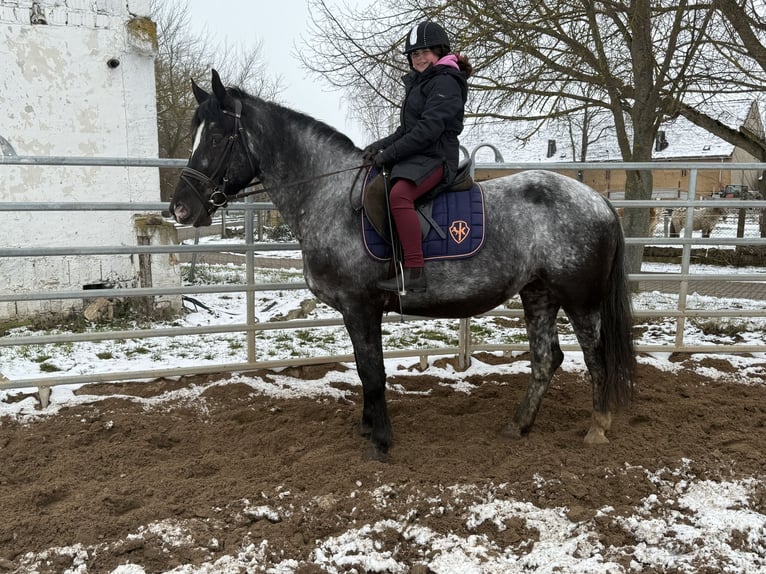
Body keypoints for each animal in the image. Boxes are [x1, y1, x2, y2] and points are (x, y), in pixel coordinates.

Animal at [171, 71, 640, 460]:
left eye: (217, 137)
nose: (180, 209)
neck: (330, 196)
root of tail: (598, 201)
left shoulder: (360, 306)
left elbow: (372, 371)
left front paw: (380, 441)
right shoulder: (355, 310)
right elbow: (364, 369)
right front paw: (368, 428)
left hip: (581, 299)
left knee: (594, 357)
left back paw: (597, 427)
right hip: (539, 292)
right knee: (546, 359)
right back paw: (518, 425)